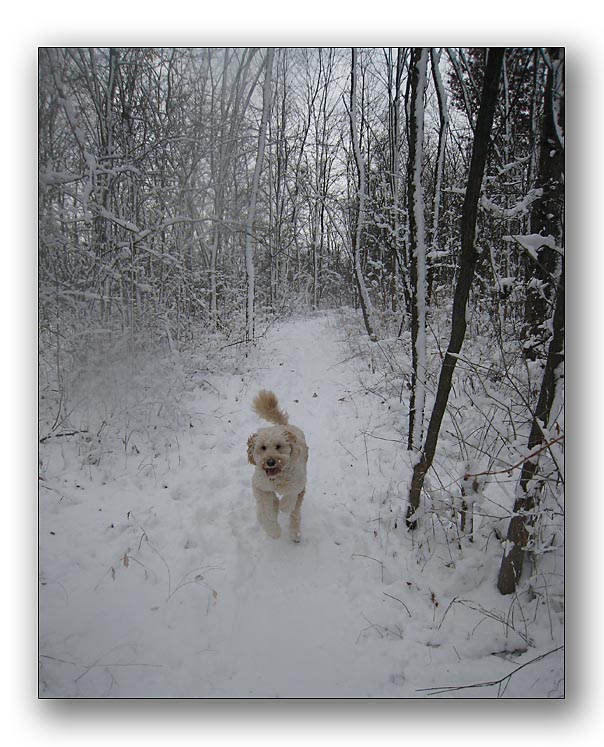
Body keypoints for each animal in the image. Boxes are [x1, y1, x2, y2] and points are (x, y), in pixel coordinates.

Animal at [248, 392, 310, 544]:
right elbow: (266, 510)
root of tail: (284, 425)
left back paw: (294, 534)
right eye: (263, 447)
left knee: (295, 515)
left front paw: (283, 506)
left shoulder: (298, 483)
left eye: (278, 446)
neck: (277, 478)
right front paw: (274, 532)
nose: (270, 462)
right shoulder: (260, 485)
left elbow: (290, 497)